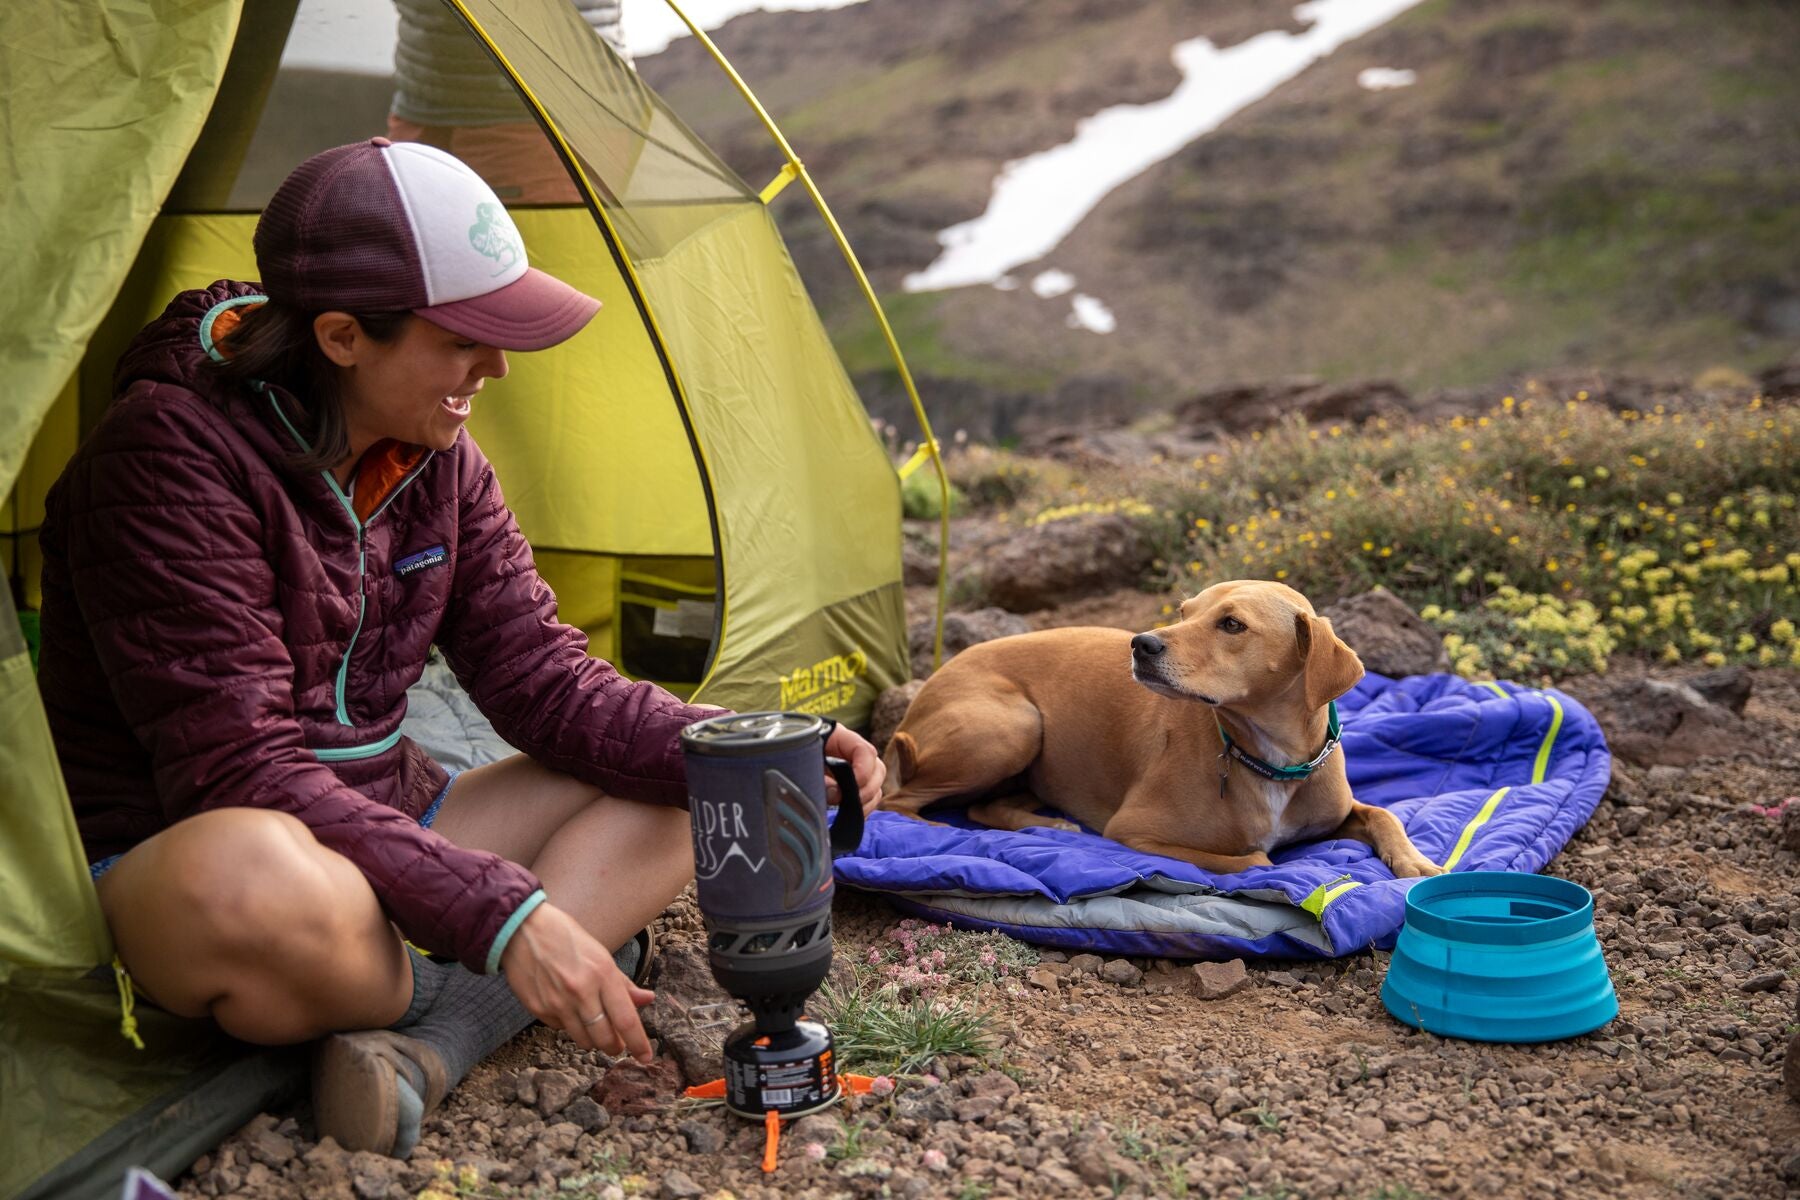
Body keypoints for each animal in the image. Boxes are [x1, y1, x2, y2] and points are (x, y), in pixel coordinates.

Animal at [885, 575, 1447, 877]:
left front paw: (1414, 861)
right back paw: (942, 835)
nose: (1141, 643)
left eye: (1232, 624)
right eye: (1183, 611)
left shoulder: (1338, 811)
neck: (1269, 757)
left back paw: (1044, 824)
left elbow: (1384, 814)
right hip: (1013, 725)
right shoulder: (1134, 830)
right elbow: (1254, 860)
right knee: (898, 803)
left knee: (983, 805)